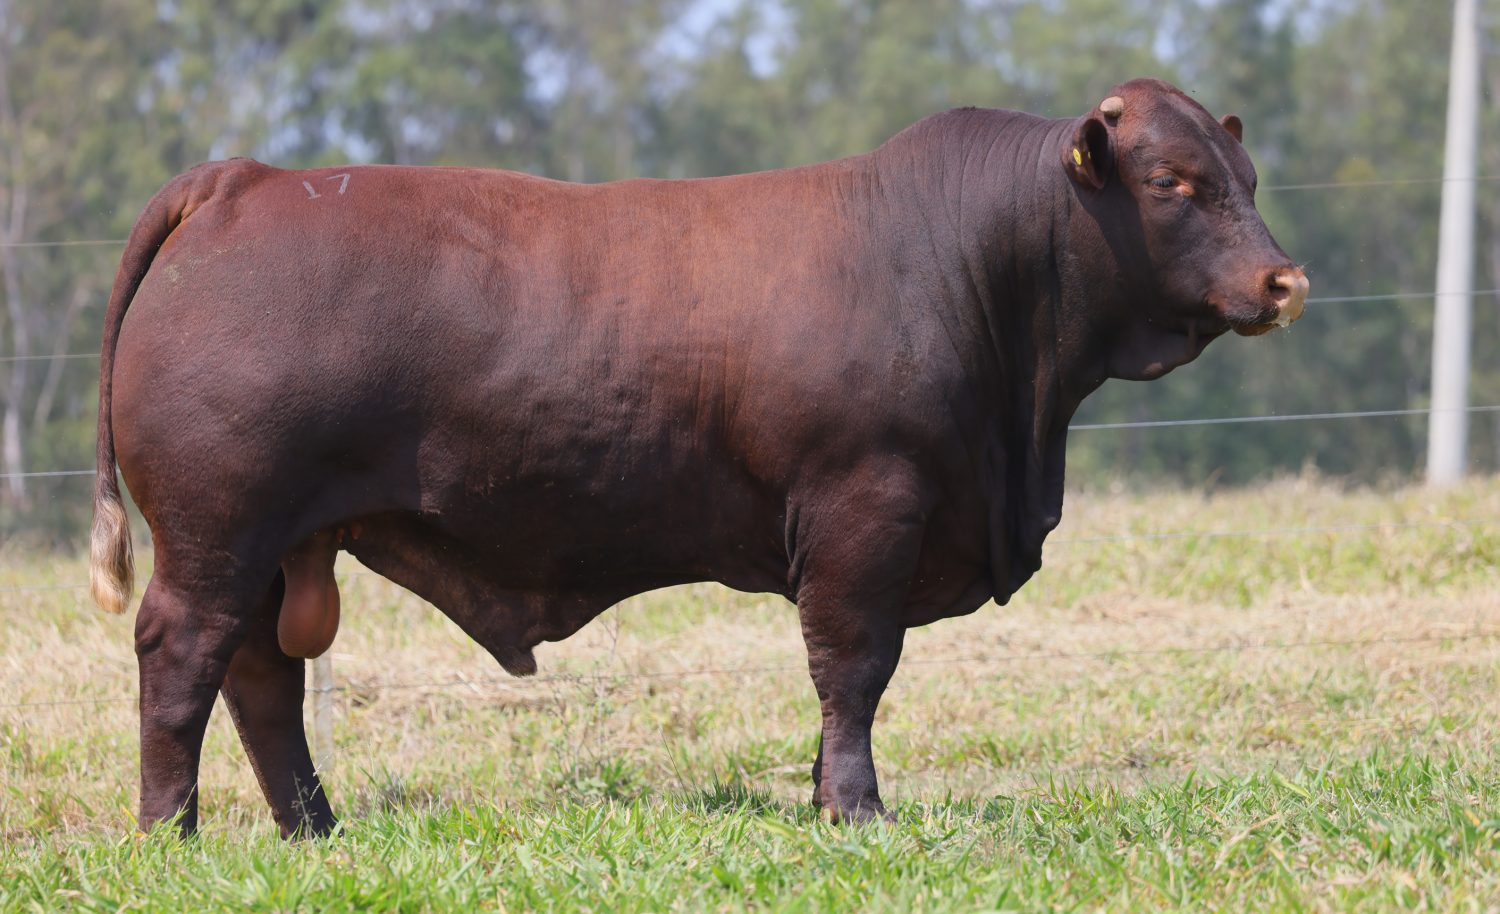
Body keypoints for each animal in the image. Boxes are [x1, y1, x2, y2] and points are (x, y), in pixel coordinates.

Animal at [93, 78, 1308, 834]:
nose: (1284, 280)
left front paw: (823, 801)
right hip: (217, 527)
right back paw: (169, 832)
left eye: (1247, 175)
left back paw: (313, 828)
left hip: (274, 541)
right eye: (1173, 184)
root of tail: (248, 179)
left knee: (262, 675)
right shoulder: (866, 503)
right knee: (184, 655)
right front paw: (858, 809)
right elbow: (854, 666)